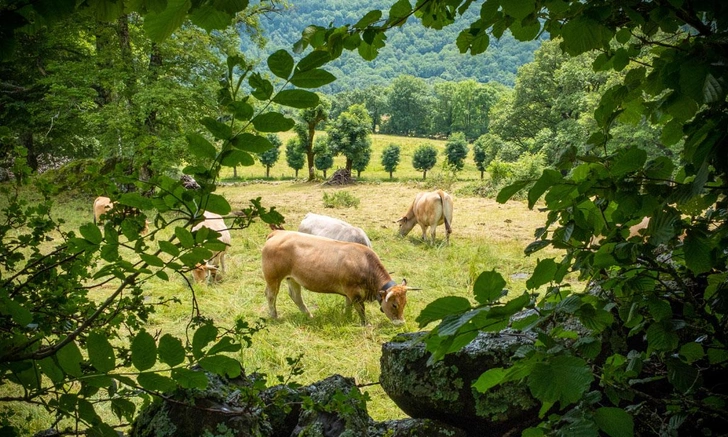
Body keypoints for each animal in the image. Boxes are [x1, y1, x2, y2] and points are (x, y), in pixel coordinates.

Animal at [260, 228, 416, 324]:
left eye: (405, 303)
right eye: (394, 304)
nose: (401, 323)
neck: (365, 263)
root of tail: (278, 233)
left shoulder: (349, 293)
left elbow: (348, 306)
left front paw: (347, 317)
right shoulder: (354, 293)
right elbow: (360, 309)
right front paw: (366, 324)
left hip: (292, 278)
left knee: (296, 296)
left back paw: (309, 315)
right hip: (273, 278)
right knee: (271, 295)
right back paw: (274, 316)